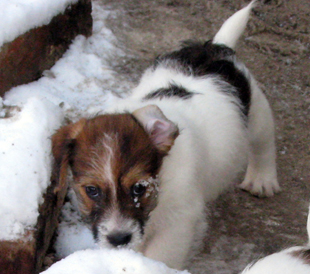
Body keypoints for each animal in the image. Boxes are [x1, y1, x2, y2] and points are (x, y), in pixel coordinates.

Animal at [52, 0, 280, 270]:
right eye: (91, 190)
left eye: (139, 188)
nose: (118, 239)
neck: (163, 178)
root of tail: (214, 48)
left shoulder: (178, 223)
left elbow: (162, 256)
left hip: (257, 111)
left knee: (264, 142)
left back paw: (262, 180)